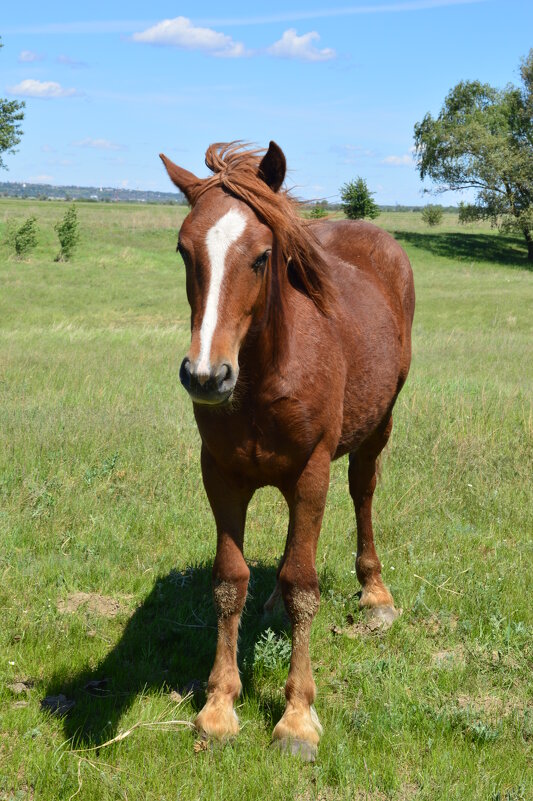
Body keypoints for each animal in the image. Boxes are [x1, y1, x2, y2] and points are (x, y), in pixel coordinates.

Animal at [160, 141, 414, 760]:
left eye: (261, 257)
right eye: (183, 250)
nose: (207, 376)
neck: (266, 371)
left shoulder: (312, 472)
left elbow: (305, 585)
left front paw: (297, 716)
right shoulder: (221, 474)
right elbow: (229, 582)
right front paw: (219, 705)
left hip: (377, 428)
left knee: (364, 493)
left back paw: (376, 593)